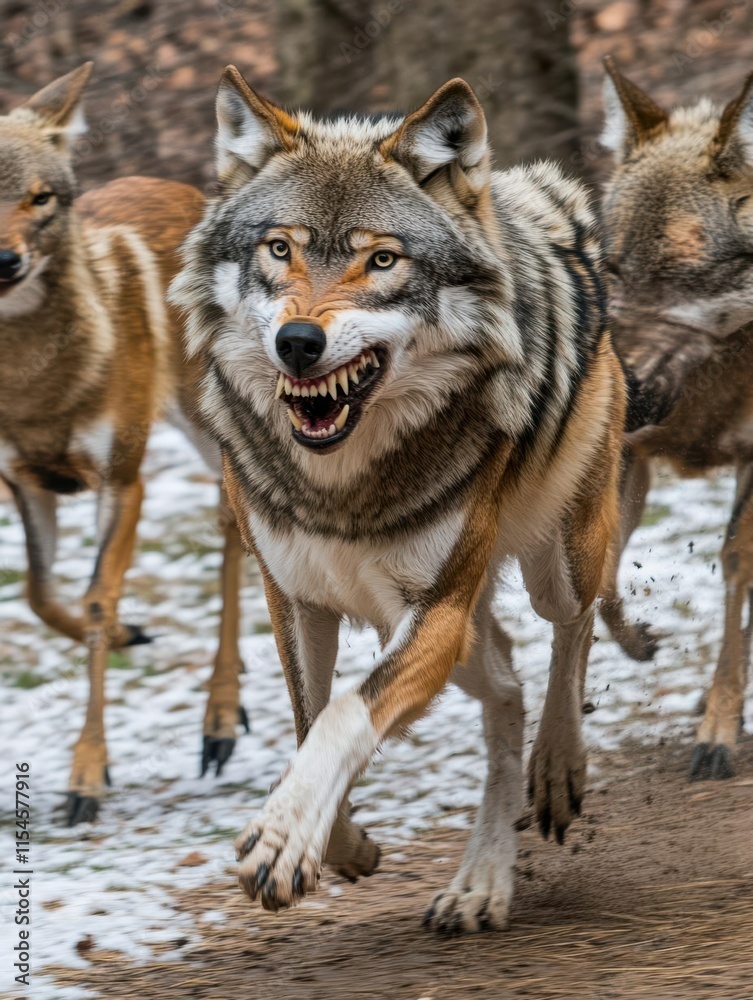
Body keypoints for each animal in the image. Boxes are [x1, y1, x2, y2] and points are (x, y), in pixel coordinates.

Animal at [0, 64, 248, 824]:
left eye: (40, 196)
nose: (5, 260)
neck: (41, 394)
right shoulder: (23, 479)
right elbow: (40, 593)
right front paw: (128, 634)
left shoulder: (123, 475)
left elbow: (94, 598)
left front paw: (85, 777)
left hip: (212, 421)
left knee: (234, 523)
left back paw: (219, 722)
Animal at [171, 67, 625, 931]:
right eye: (278, 249)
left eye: (381, 260)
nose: (298, 344)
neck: (343, 485)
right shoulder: (295, 599)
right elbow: (309, 718)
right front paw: (335, 844)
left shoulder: (435, 612)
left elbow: (345, 713)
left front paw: (284, 840)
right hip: (449, 634)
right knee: (507, 689)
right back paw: (480, 882)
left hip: (551, 564)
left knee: (570, 633)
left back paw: (556, 771)